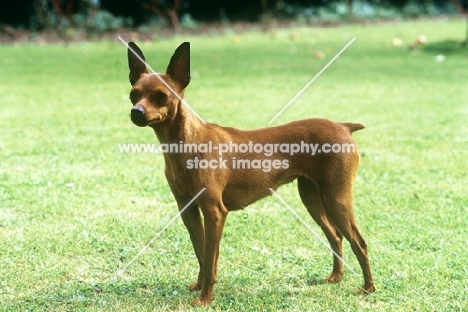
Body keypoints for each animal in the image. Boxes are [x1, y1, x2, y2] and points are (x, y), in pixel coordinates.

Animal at [126, 42, 374, 308]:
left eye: (161, 96)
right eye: (133, 94)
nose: (136, 112)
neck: (188, 142)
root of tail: (343, 126)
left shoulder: (215, 212)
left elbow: (210, 259)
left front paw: (205, 298)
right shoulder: (188, 209)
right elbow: (201, 252)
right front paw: (200, 286)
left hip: (336, 199)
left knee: (359, 242)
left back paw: (368, 288)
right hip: (313, 199)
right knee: (335, 236)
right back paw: (336, 277)